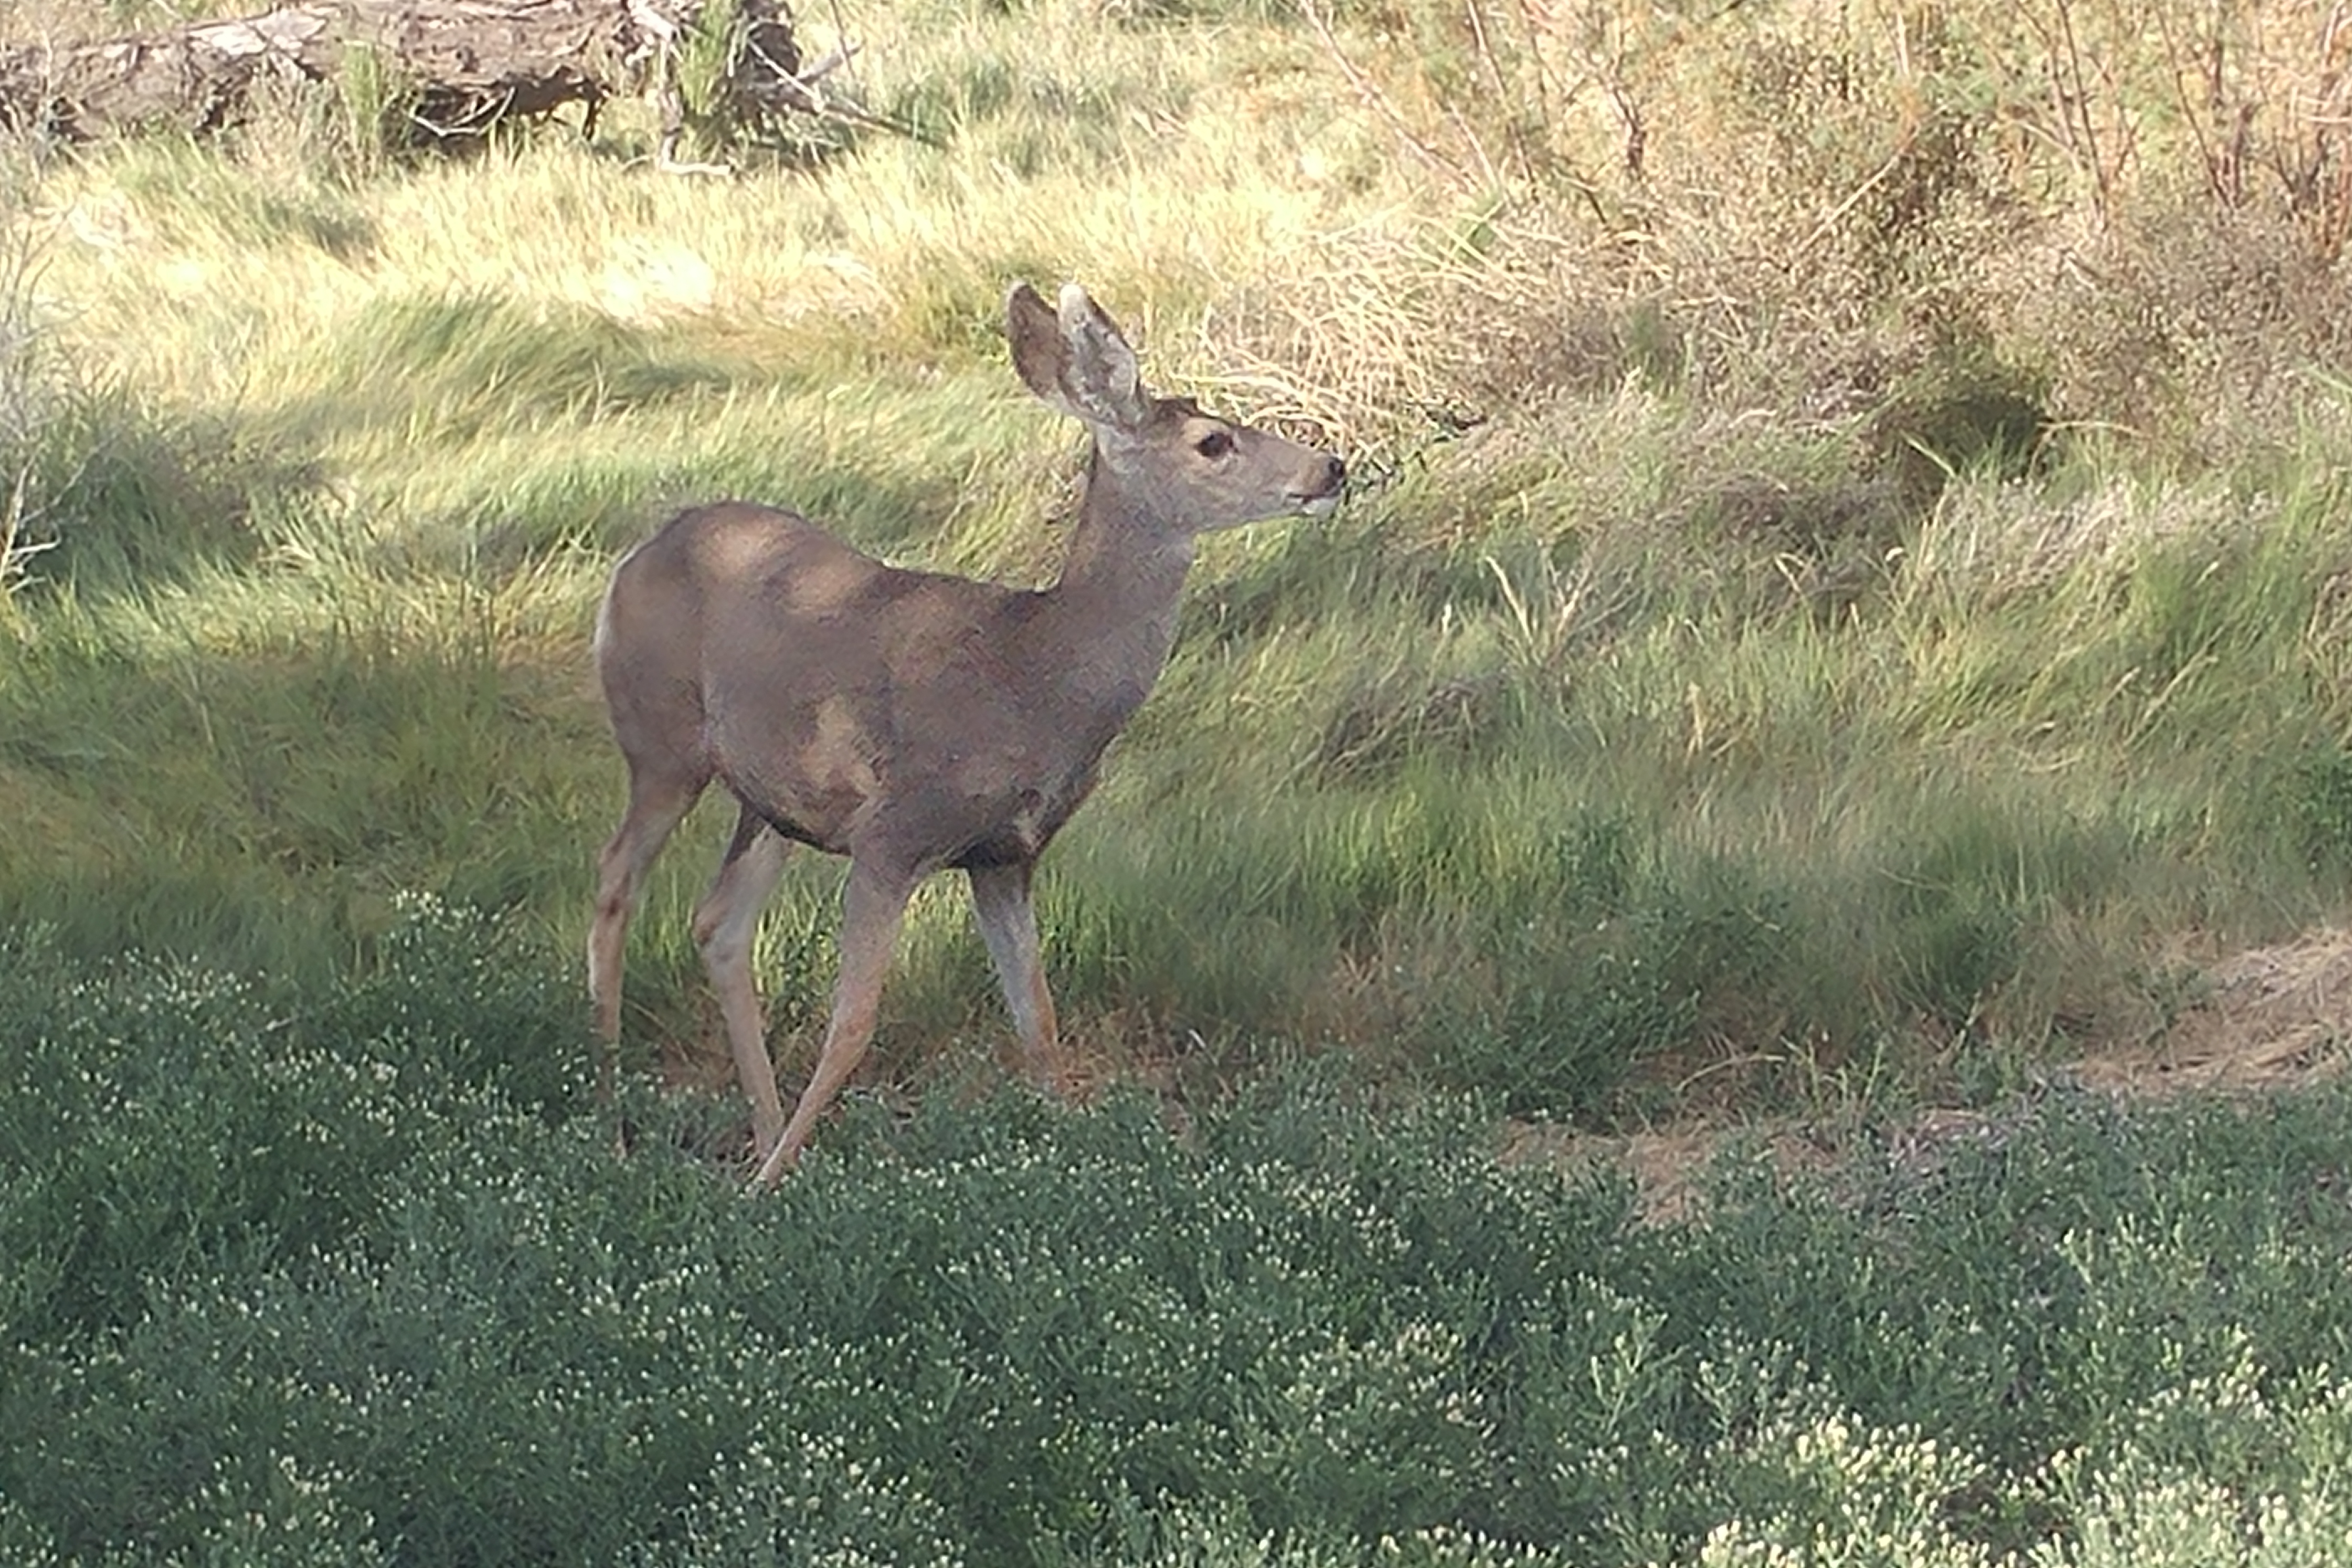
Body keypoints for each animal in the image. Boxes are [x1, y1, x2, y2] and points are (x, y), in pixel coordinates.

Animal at [583, 285, 1345, 1189]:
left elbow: (1039, 1025)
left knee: (717, 925)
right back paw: (619, 1128)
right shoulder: (894, 832)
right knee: (614, 888)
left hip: (772, 801)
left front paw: (1080, 1154)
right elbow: (855, 1022)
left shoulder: (1005, 854)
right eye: (1213, 441)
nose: (1331, 468)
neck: (1037, 681)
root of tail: (632, 560)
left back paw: (764, 1134)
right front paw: (767, 1192)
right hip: (660, 741)